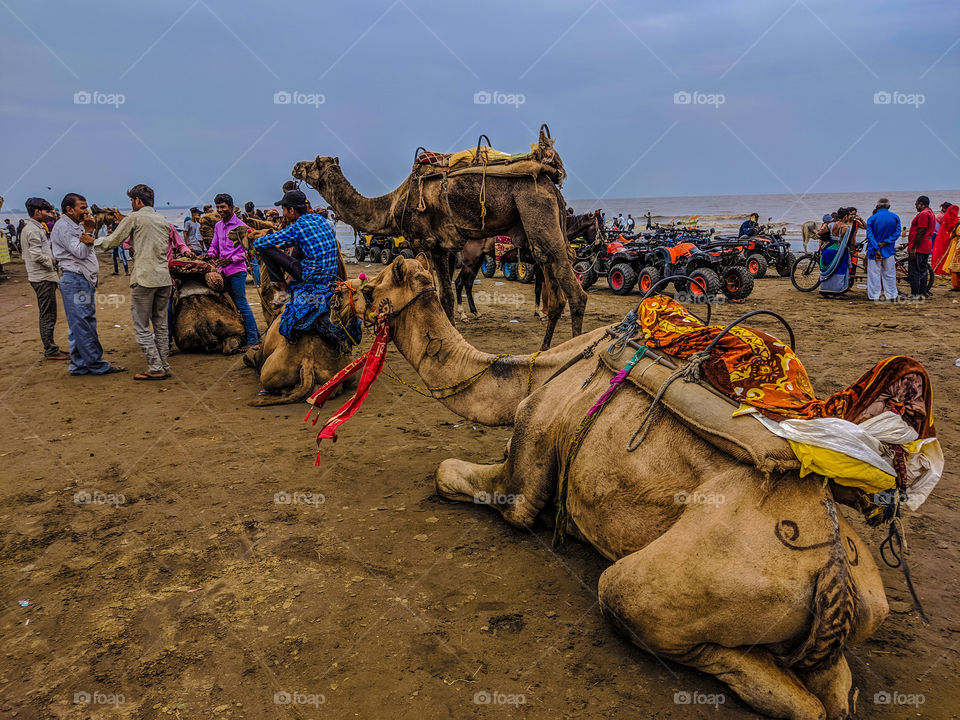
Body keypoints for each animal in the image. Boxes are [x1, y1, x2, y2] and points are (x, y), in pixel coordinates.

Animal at [352, 258, 900, 720]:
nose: (343, 295)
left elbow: (457, 476)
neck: (540, 372)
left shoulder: (528, 454)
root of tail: (834, 567)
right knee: (838, 691)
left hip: (688, 579)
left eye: (373, 284)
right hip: (861, 608)